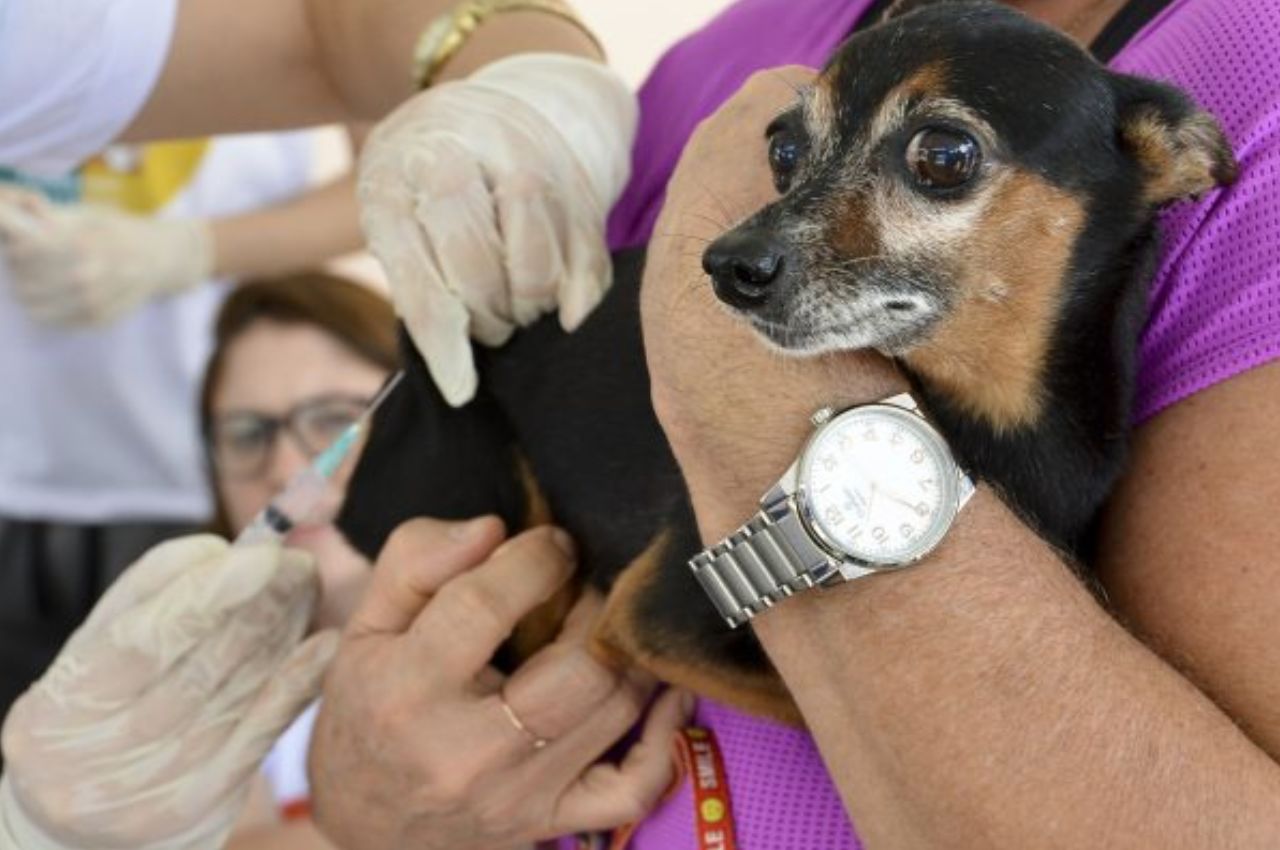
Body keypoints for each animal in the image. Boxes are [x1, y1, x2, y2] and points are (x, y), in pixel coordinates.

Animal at [337, 0, 1228, 721]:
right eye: (783, 149)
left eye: (943, 154)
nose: (727, 264)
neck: (998, 414)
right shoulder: (654, 619)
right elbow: (803, 714)